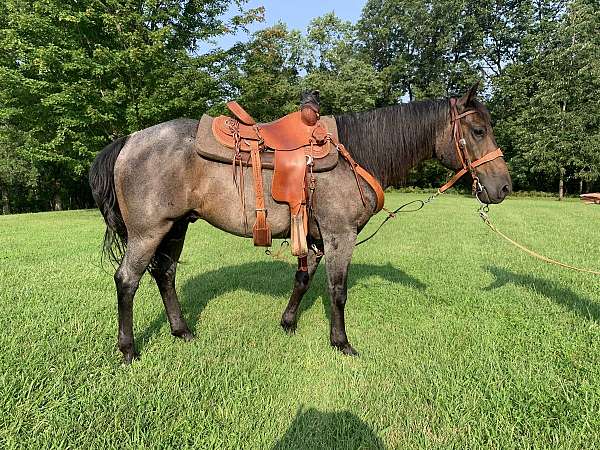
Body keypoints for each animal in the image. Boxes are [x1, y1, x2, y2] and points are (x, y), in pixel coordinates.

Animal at [89, 83, 510, 366]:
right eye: (477, 131)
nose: (503, 187)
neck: (356, 156)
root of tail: (129, 140)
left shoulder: (314, 236)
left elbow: (303, 280)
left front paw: (288, 322)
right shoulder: (341, 236)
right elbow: (337, 291)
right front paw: (341, 342)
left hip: (176, 226)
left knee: (165, 274)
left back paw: (182, 331)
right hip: (148, 232)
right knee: (127, 280)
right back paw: (128, 350)